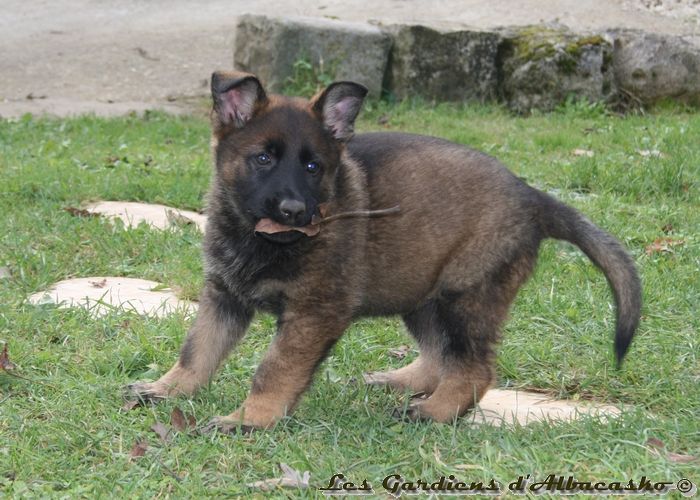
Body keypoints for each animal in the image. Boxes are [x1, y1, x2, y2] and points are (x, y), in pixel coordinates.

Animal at [129, 72, 644, 432]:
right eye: (263, 159)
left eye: (314, 167)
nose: (296, 211)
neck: (259, 239)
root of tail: (533, 196)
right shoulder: (224, 297)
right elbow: (198, 349)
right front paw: (168, 389)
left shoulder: (313, 313)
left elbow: (273, 369)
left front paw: (250, 420)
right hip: (420, 289)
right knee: (439, 354)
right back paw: (401, 382)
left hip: (466, 294)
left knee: (473, 367)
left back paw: (436, 412)